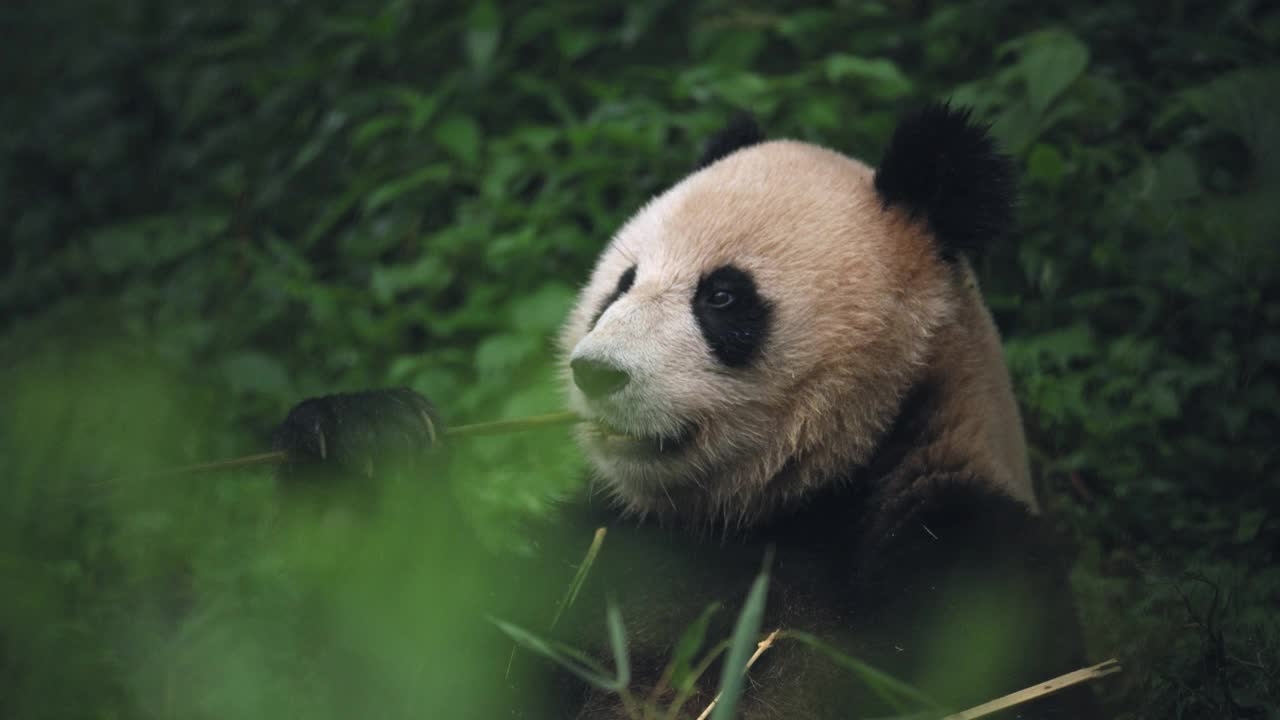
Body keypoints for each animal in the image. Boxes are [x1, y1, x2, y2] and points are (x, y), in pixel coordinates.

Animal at [275, 103, 1095, 712]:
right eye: (622, 282)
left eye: (723, 297)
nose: (595, 372)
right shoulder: (604, 553)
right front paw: (361, 447)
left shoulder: (964, 560)